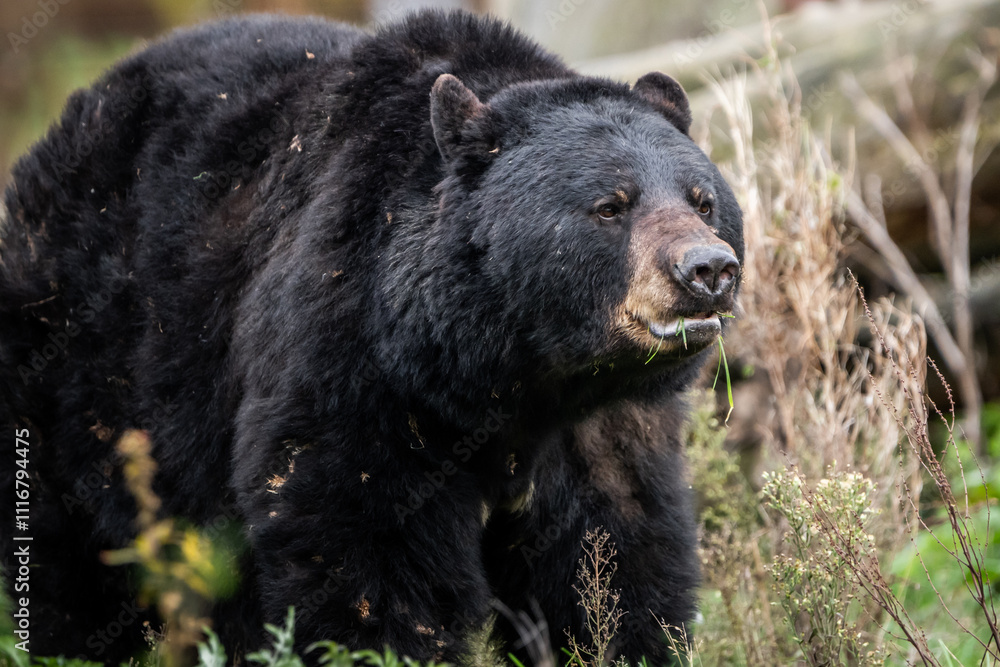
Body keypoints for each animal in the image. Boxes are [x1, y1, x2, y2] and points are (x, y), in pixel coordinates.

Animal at [0, 9, 743, 666]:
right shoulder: (353, 358)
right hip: (79, 376)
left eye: (703, 199)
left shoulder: (601, 425)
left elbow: (610, 557)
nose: (709, 270)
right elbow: (364, 546)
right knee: (65, 560)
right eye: (611, 205)